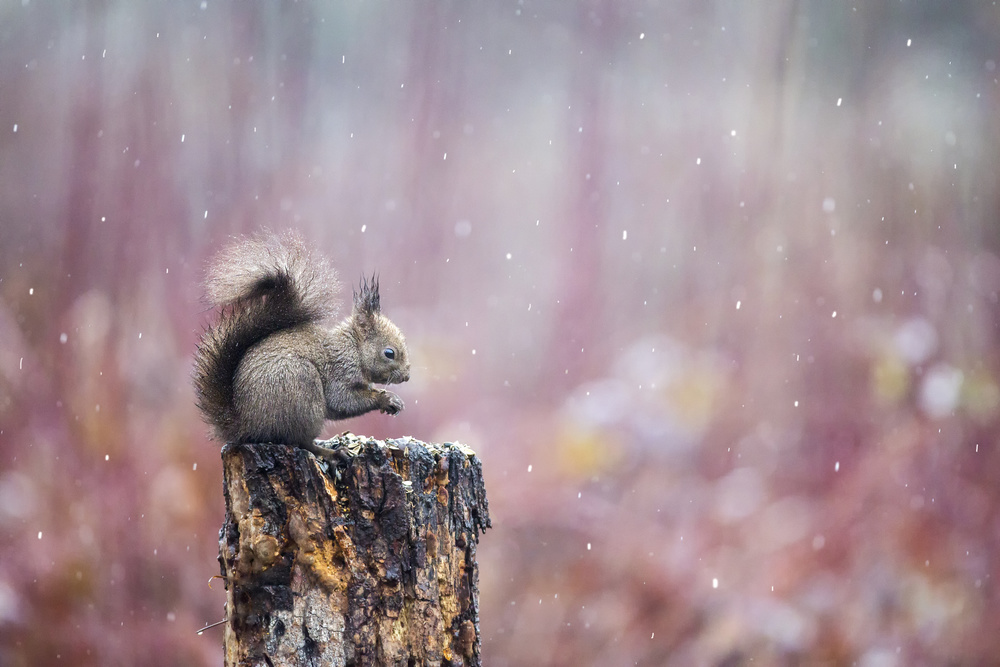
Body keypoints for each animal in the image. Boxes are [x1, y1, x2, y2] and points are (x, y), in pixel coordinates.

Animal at [191, 232, 410, 462]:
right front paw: (386, 399)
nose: (406, 376)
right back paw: (332, 453)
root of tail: (245, 426)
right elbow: (342, 401)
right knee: (302, 441)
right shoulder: (339, 372)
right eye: (389, 353)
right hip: (302, 391)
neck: (353, 350)